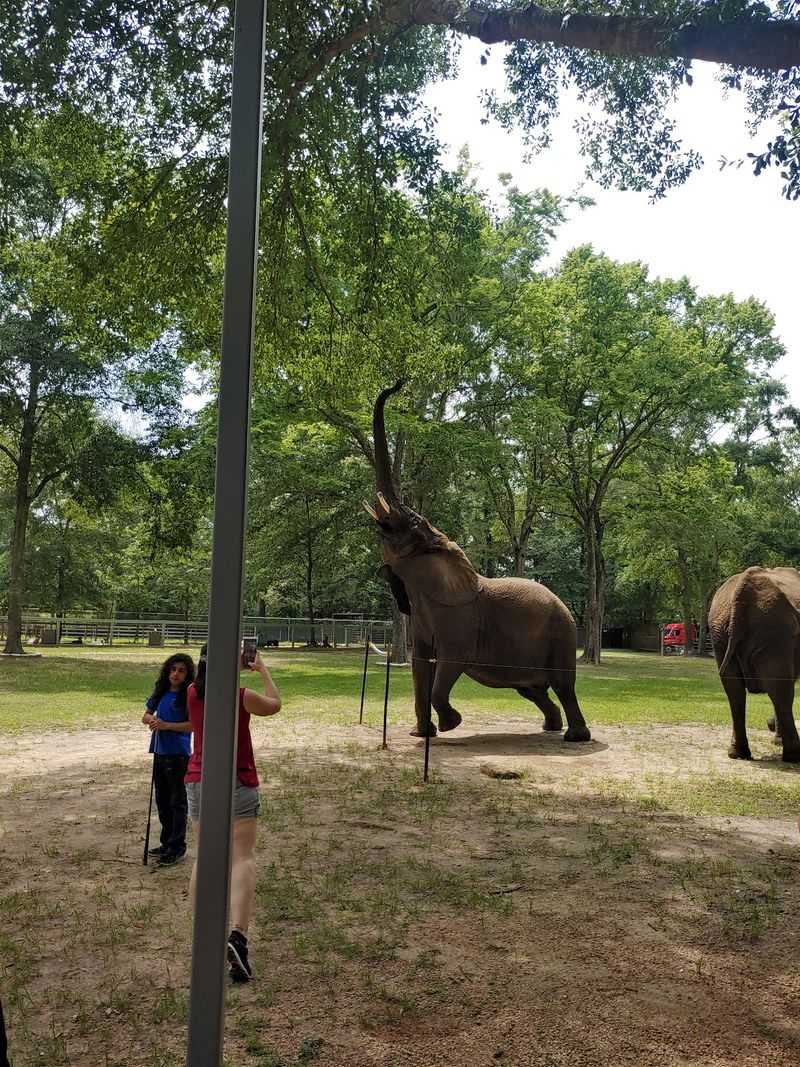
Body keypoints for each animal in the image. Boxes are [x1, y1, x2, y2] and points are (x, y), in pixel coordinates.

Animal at [363, 382, 591, 743]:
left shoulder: (461, 620)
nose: (397, 384)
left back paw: (574, 737)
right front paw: (421, 735)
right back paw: (550, 727)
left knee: (563, 685)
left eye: (413, 522)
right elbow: (420, 667)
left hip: (562, 634)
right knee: (533, 690)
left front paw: (450, 724)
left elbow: (448, 666)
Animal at [708, 565, 800, 763]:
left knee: (734, 690)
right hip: (774, 630)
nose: (768, 723)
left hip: (720, 633)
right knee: (780, 691)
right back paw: (794, 756)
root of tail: (741, 594)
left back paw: (737, 754)